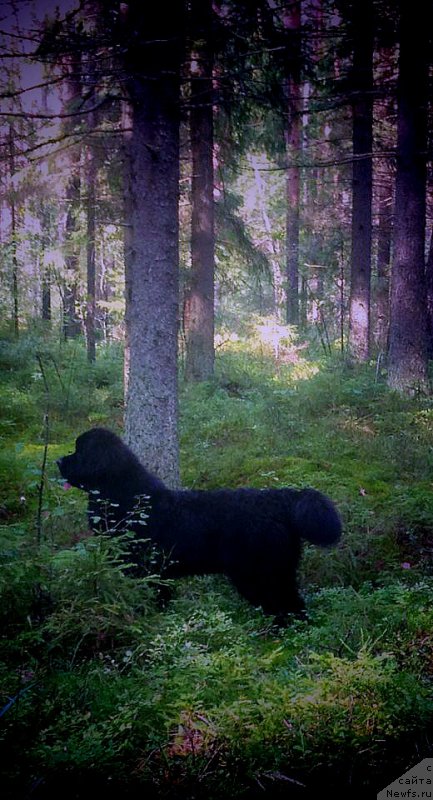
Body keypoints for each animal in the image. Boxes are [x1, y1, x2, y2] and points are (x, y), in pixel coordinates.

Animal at [56, 428, 340, 620]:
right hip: (276, 571)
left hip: (259, 573)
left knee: (284, 604)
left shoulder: (147, 571)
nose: (58, 461)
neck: (124, 495)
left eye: (78, 451)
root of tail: (280, 500)